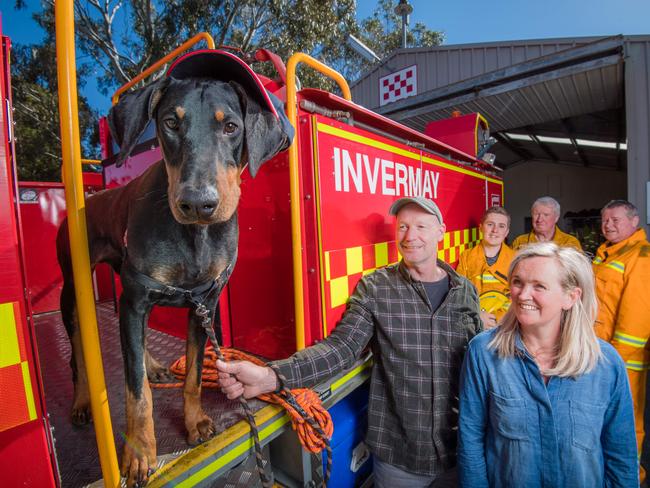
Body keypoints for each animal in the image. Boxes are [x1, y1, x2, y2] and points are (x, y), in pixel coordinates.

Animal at [58, 51, 292, 486]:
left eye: (231, 126)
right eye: (170, 122)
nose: (197, 203)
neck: (194, 237)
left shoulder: (203, 304)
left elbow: (196, 374)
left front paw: (195, 421)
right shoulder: (137, 298)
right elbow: (135, 393)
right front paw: (139, 455)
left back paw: (152, 366)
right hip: (73, 292)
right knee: (80, 354)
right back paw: (82, 401)